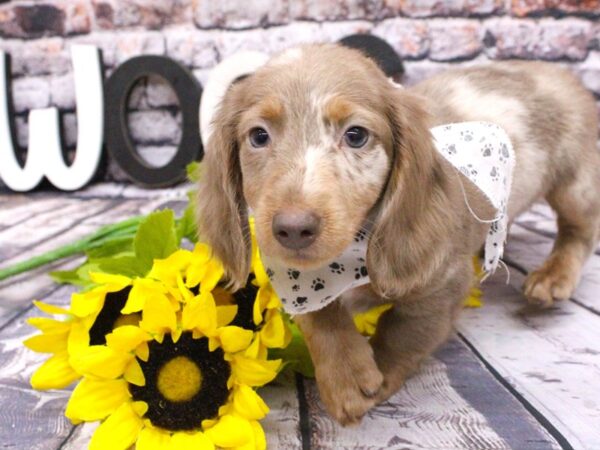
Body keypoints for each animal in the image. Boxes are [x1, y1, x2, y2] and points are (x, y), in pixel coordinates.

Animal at [198, 44, 600, 426]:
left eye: (356, 135)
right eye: (258, 136)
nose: (293, 228)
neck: (350, 257)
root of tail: (559, 72)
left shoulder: (445, 283)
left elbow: (403, 330)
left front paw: (378, 377)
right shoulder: (298, 282)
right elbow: (321, 318)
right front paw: (345, 377)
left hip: (575, 186)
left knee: (580, 231)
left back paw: (553, 276)